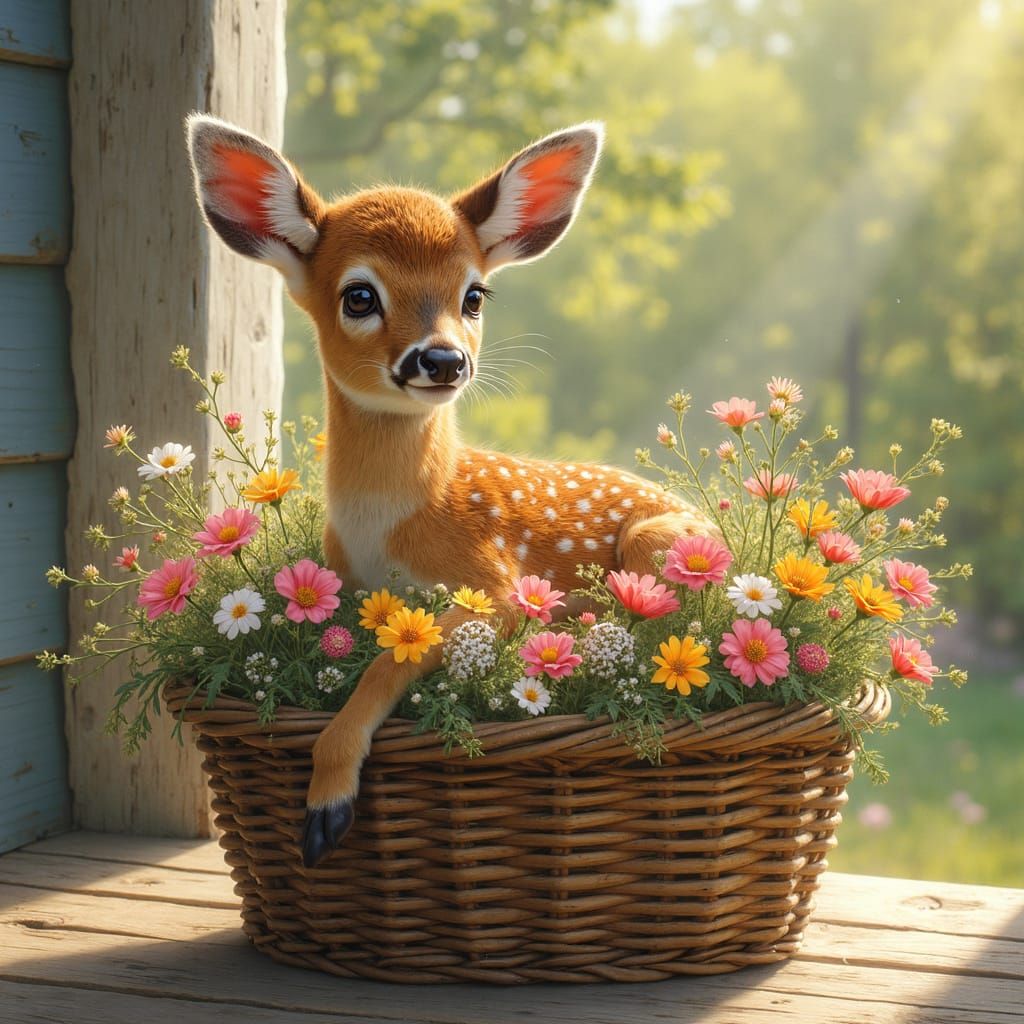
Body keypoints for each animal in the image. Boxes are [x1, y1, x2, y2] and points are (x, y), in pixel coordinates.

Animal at [186, 115, 711, 868]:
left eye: (474, 295)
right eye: (359, 295)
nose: (441, 359)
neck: (394, 523)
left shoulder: (495, 587)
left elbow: (387, 663)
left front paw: (326, 803)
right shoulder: (349, 587)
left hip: (655, 545)